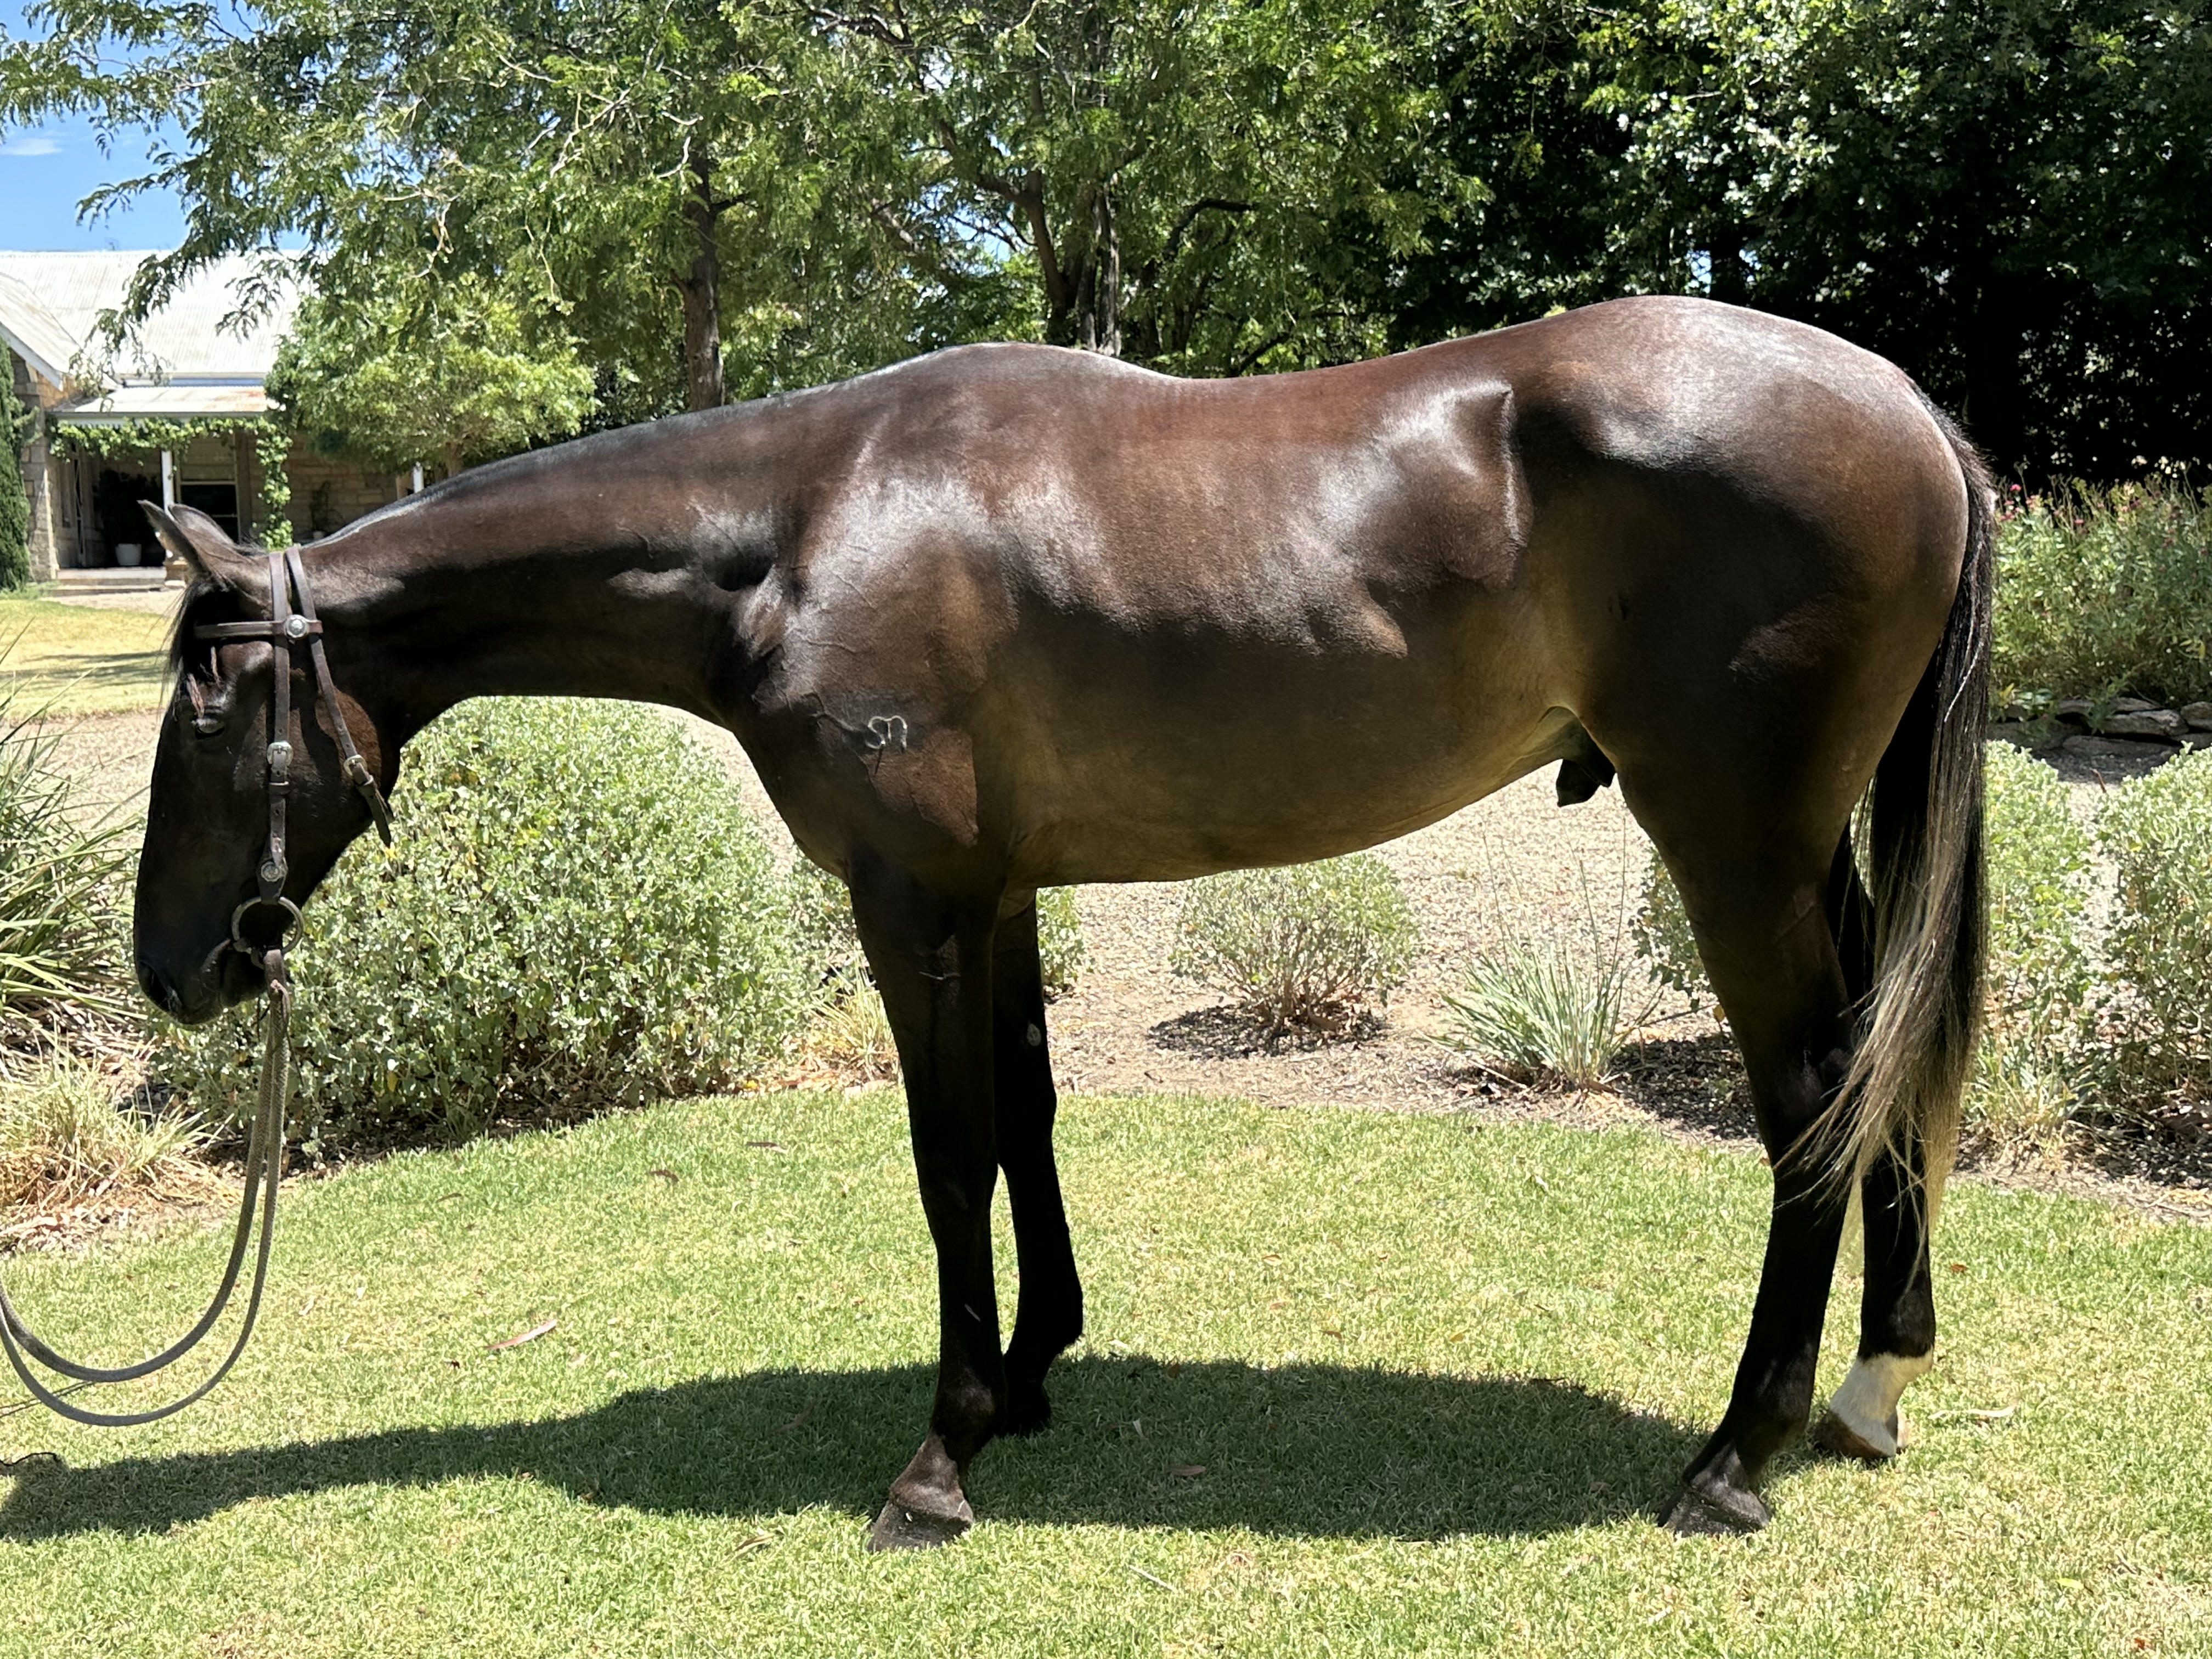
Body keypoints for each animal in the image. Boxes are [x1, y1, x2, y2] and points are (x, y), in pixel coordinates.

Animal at [135, 295, 1990, 1547]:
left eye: (211, 722)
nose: (175, 973)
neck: (801, 530)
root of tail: (1907, 408)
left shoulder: (914, 902)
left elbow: (948, 1150)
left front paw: (941, 1454)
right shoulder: (1004, 890)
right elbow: (1025, 1114)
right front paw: (1032, 1375)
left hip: (1733, 844)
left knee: (1813, 1099)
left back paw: (1736, 1458)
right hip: (1809, 850)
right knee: (1884, 1065)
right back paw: (1870, 1388)